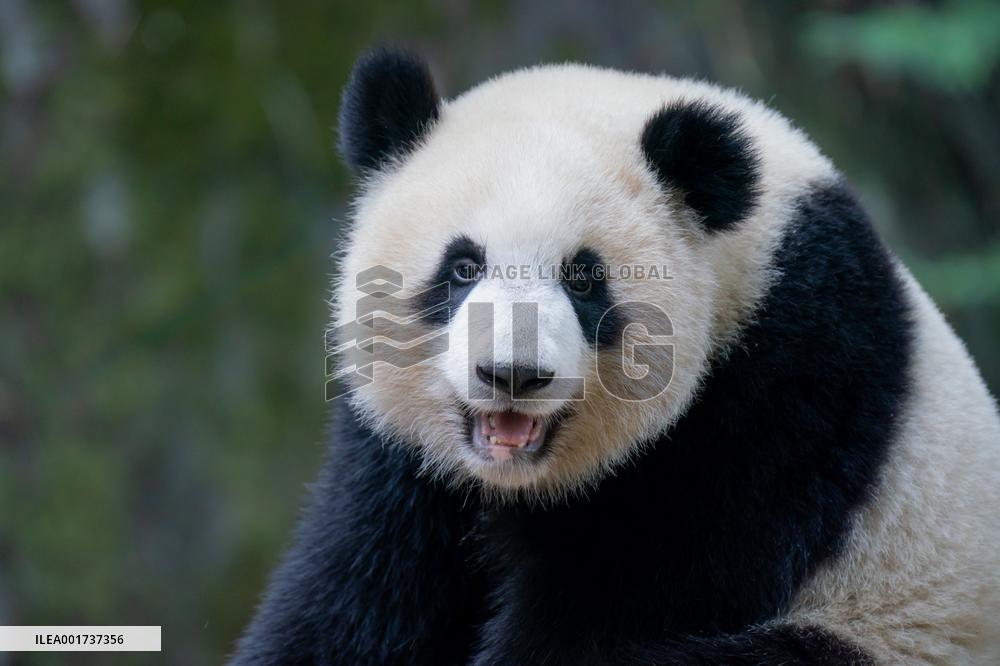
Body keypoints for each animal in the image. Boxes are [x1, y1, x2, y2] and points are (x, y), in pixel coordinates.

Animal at [232, 48, 1000, 665]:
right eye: (461, 267)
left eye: (583, 278)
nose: (512, 374)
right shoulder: (398, 466)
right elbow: (356, 590)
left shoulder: (781, 393)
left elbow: (627, 602)